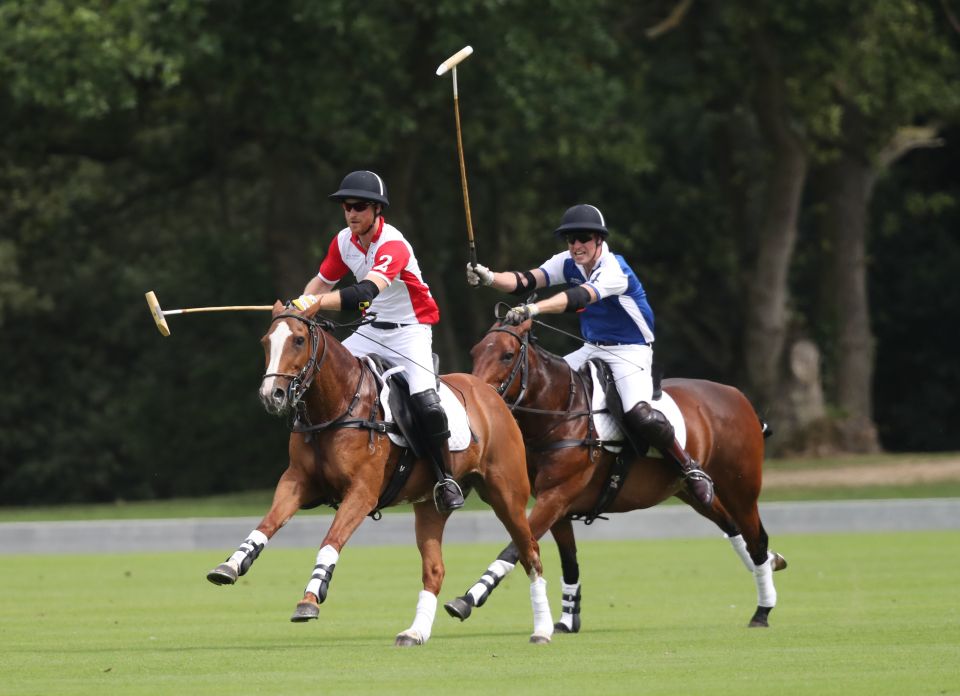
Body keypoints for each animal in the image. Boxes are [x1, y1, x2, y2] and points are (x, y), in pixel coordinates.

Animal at [208, 304, 556, 648]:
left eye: (298, 340)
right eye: (266, 341)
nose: (272, 395)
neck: (336, 407)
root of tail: (492, 395)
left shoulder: (362, 492)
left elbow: (331, 539)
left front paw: (310, 598)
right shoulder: (297, 482)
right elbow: (268, 522)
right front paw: (231, 565)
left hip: (506, 494)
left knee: (531, 554)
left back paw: (542, 630)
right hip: (430, 506)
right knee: (435, 569)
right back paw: (415, 633)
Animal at [446, 320, 784, 632]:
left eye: (507, 354)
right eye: (475, 351)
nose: (476, 396)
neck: (562, 413)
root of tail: (738, 396)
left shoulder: (556, 496)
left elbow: (516, 547)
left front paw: (468, 598)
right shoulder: (557, 506)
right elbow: (568, 561)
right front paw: (568, 619)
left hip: (742, 487)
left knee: (756, 538)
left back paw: (763, 609)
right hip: (693, 492)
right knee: (733, 528)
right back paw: (773, 562)